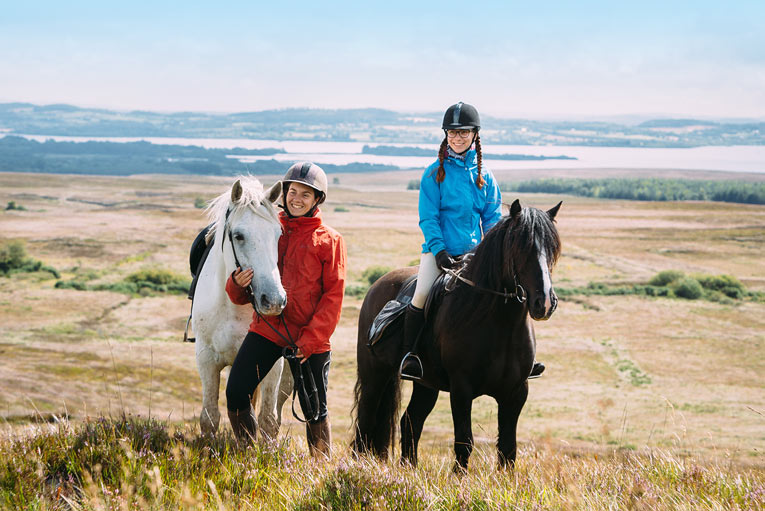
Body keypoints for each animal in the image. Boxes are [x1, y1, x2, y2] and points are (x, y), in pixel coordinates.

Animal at [192, 178, 294, 438]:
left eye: (278, 234)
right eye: (238, 236)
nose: (274, 301)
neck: (233, 308)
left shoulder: (272, 365)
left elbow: (268, 419)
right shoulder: (207, 360)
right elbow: (210, 418)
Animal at [352, 199, 560, 472]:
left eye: (552, 249)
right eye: (521, 246)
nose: (544, 303)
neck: (498, 322)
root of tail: (376, 285)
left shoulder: (516, 391)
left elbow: (508, 447)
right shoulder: (462, 388)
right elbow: (464, 440)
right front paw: (459, 478)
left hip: (425, 384)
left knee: (410, 421)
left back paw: (409, 469)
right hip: (374, 377)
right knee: (365, 421)